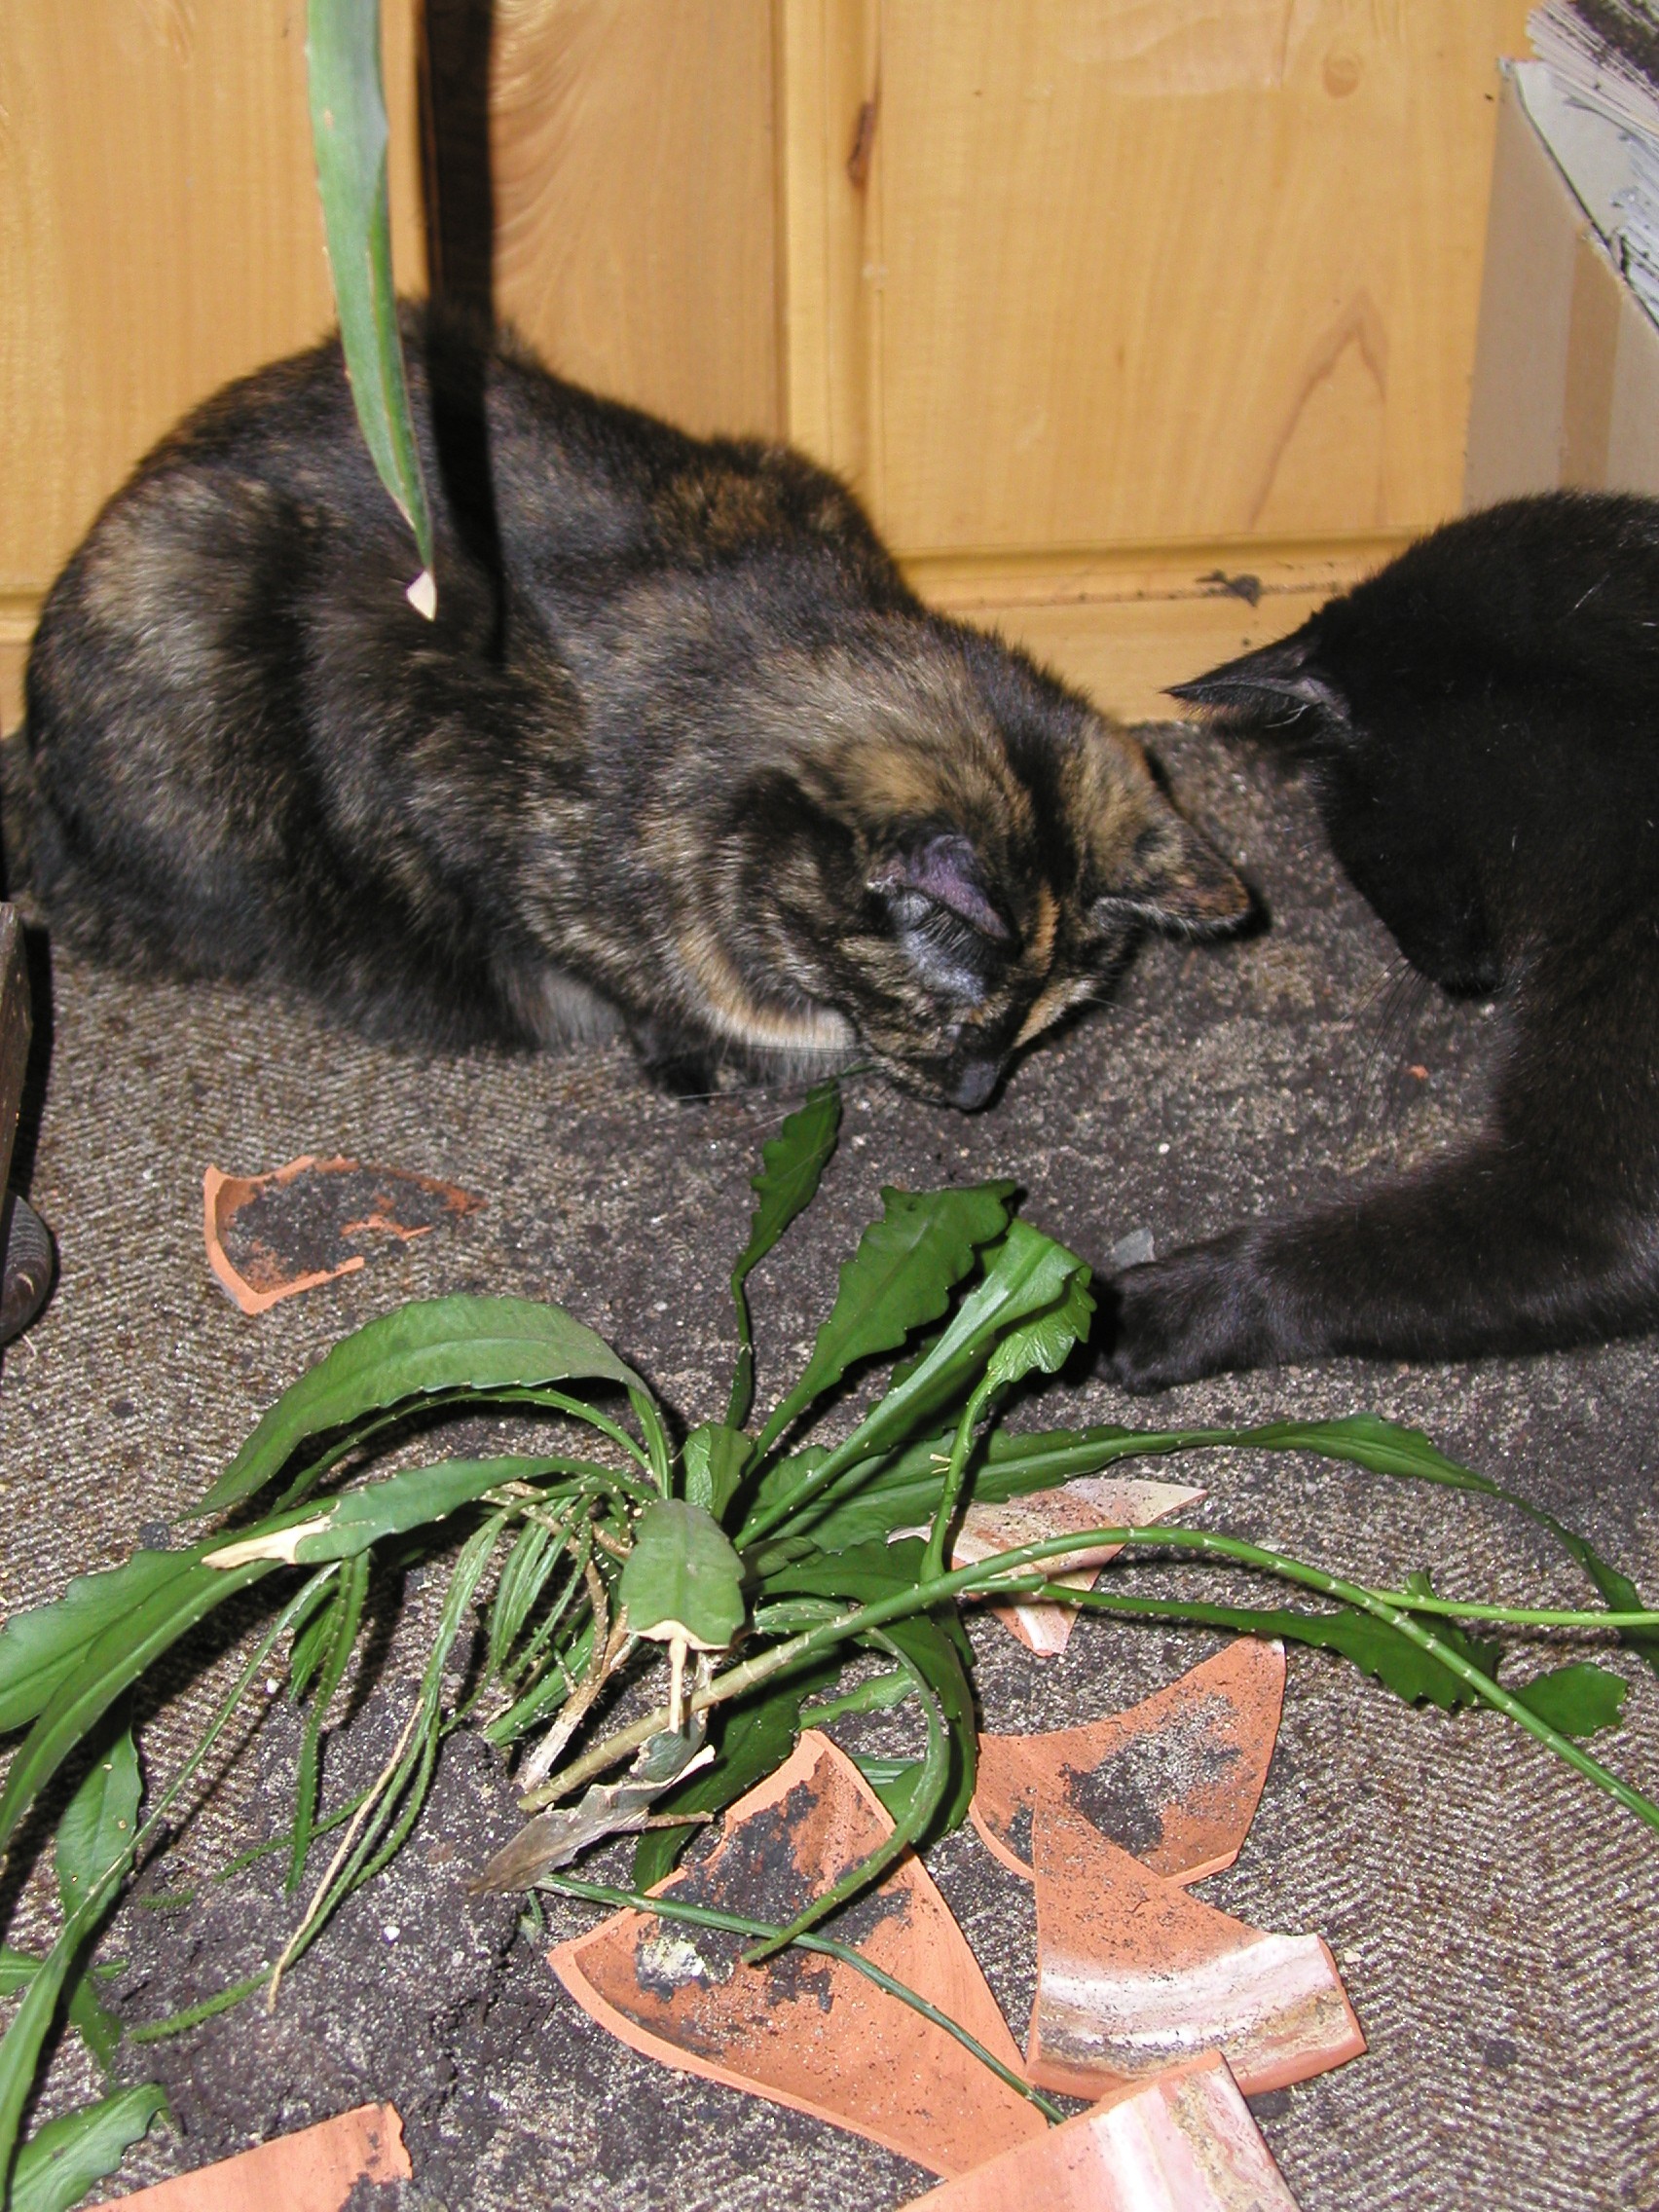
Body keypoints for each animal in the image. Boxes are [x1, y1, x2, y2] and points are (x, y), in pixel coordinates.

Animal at [6, 310, 1247, 1111]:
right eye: (959, 1024)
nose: (980, 1094)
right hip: (177, 585)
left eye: (1047, 1027)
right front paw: (683, 1049)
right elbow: (593, 957)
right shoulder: (435, 769)